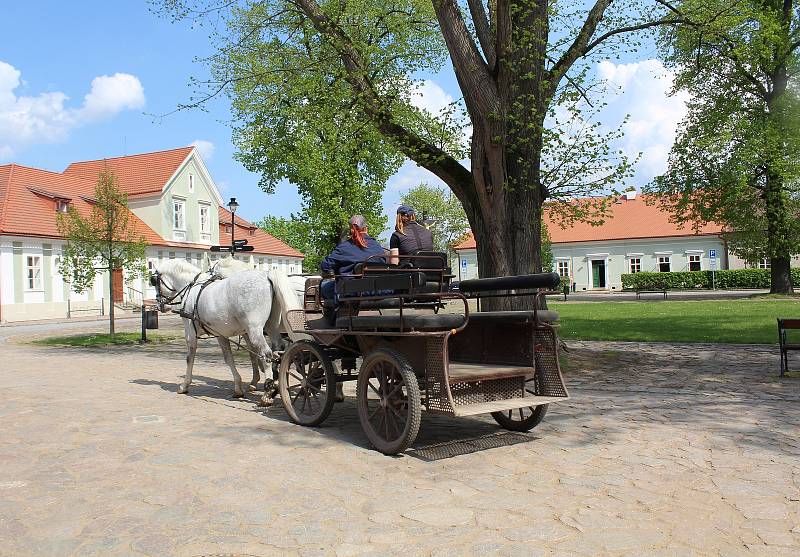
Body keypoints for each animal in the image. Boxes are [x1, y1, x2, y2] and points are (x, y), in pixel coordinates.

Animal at [152, 258, 302, 406]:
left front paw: (184, 385)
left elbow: (190, 358)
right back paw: (275, 383)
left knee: (266, 355)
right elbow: (229, 358)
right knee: (277, 349)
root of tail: (266, 275)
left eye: (153, 281)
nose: (160, 305)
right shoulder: (221, 334)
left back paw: (267, 393)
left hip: (254, 330)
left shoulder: (190, 333)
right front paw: (239, 387)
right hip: (271, 327)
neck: (191, 289)